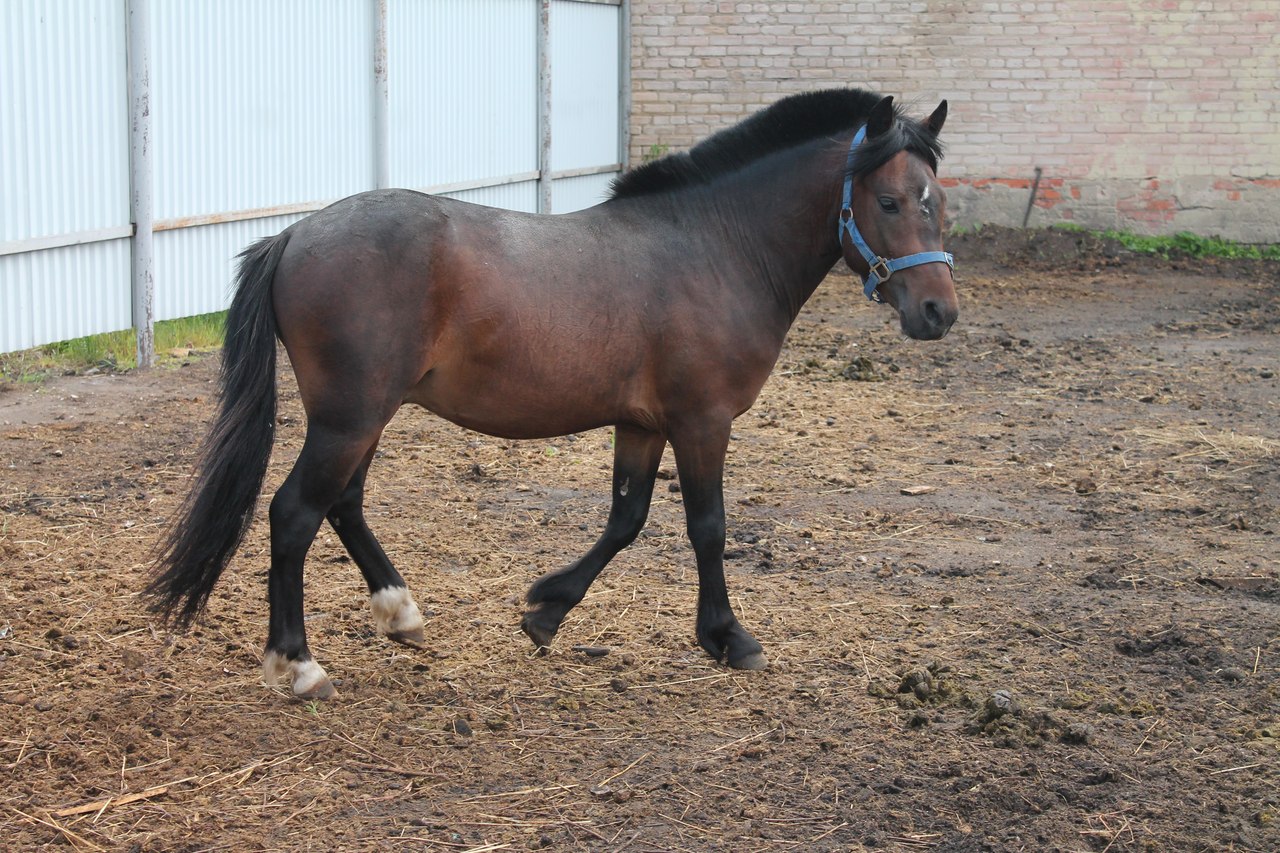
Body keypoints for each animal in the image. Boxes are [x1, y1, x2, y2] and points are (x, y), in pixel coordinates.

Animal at [148, 89, 958, 699]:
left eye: (937, 200)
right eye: (890, 201)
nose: (938, 312)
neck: (714, 246)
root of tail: (290, 237)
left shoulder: (642, 423)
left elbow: (626, 519)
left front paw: (547, 611)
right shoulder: (702, 420)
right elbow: (707, 526)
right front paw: (728, 636)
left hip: (364, 417)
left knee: (342, 505)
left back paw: (400, 612)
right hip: (348, 418)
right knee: (295, 514)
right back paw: (298, 665)